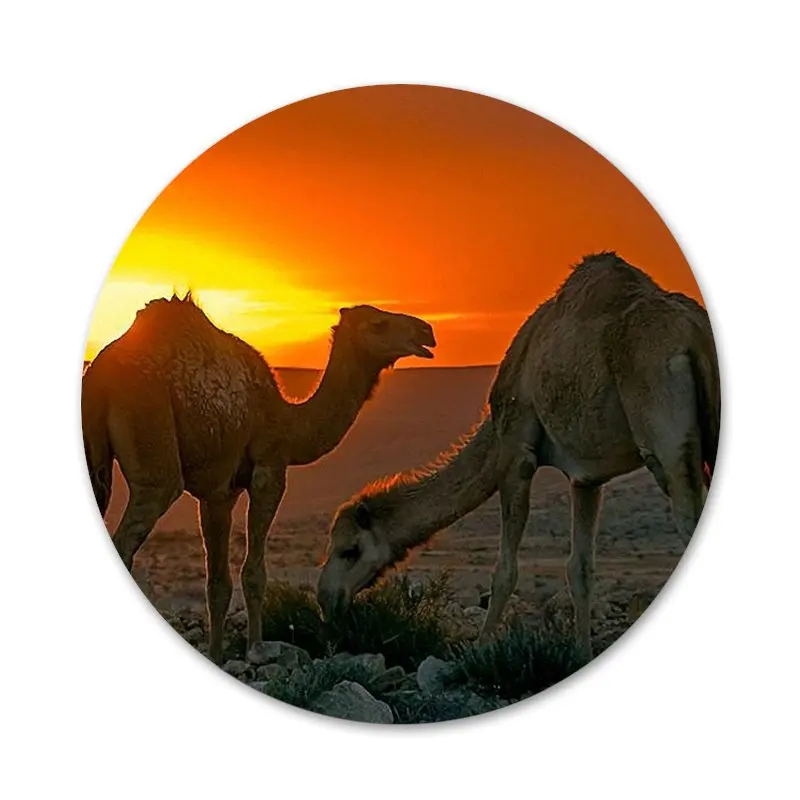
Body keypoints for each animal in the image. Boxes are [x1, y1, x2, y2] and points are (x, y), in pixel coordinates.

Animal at [82, 293, 436, 663]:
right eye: (378, 324)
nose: (426, 331)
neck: (289, 422)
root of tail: (99, 375)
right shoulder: (270, 469)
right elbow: (254, 574)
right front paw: (256, 649)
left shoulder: (219, 492)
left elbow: (218, 584)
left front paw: (216, 654)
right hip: (152, 438)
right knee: (133, 531)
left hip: (97, 459)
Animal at [317, 252, 720, 662]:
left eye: (349, 550)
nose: (326, 599)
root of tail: (694, 333)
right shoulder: (587, 476)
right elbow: (580, 568)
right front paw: (581, 652)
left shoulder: (515, 453)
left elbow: (504, 570)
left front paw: (478, 651)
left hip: (665, 435)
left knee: (686, 515)